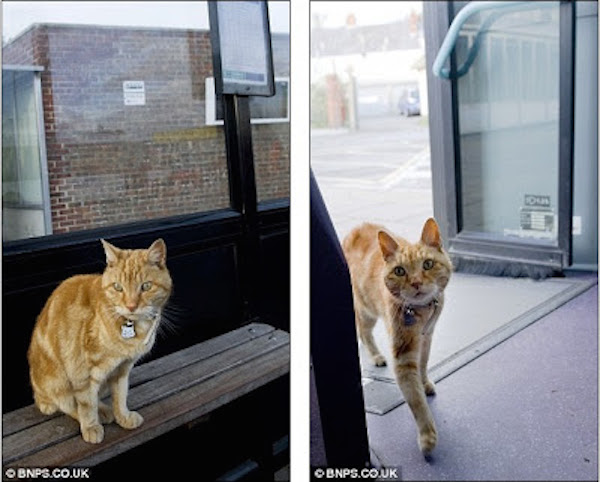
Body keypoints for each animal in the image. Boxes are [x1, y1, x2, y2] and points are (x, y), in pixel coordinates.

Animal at [29, 239, 172, 442]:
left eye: (146, 286)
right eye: (118, 287)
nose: (131, 306)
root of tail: (38, 394)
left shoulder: (122, 369)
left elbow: (120, 396)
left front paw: (123, 417)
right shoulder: (82, 372)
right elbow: (86, 404)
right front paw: (90, 426)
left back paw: (105, 410)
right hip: (58, 383)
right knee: (68, 404)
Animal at [342, 218, 450, 456]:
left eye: (427, 264)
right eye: (400, 271)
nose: (416, 283)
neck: (421, 312)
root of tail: (356, 228)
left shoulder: (427, 337)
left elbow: (423, 364)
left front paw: (425, 382)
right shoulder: (403, 357)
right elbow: (416, 400)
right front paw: (427, 436)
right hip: (367, 311)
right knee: (363, 331)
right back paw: (375, 355)